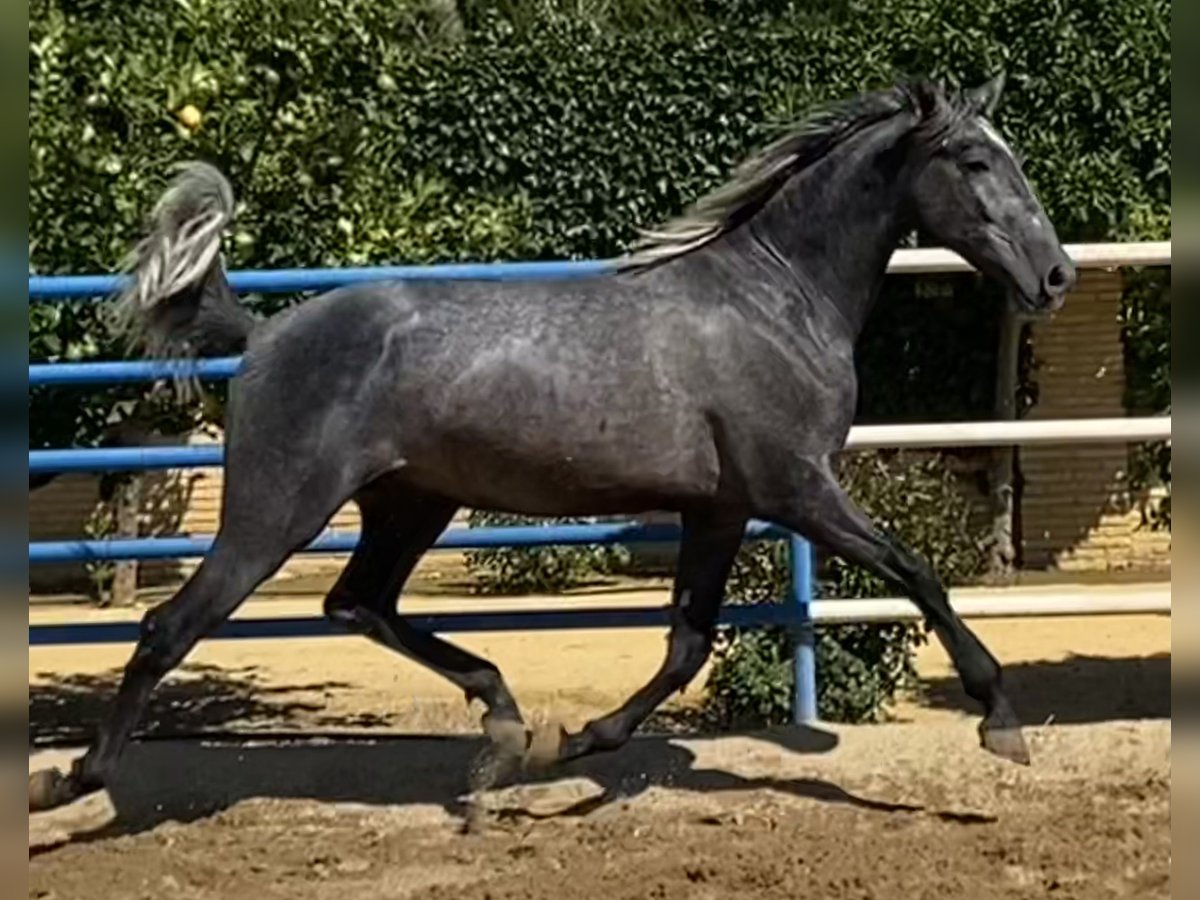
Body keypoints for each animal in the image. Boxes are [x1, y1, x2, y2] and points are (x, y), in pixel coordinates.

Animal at [30, 74, 1080, 816]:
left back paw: (501, 730)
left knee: (358, 603)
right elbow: (917, 571)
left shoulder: (721, 507)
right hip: (276, 509)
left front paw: (577, 743)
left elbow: (687, 643)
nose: (1056, 274)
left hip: (410, 504)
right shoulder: (796, 489)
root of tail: (262, 337)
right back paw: (73, 780)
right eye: (975, 162)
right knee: (172, 626)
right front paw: (1001, 722)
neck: (775, 299)